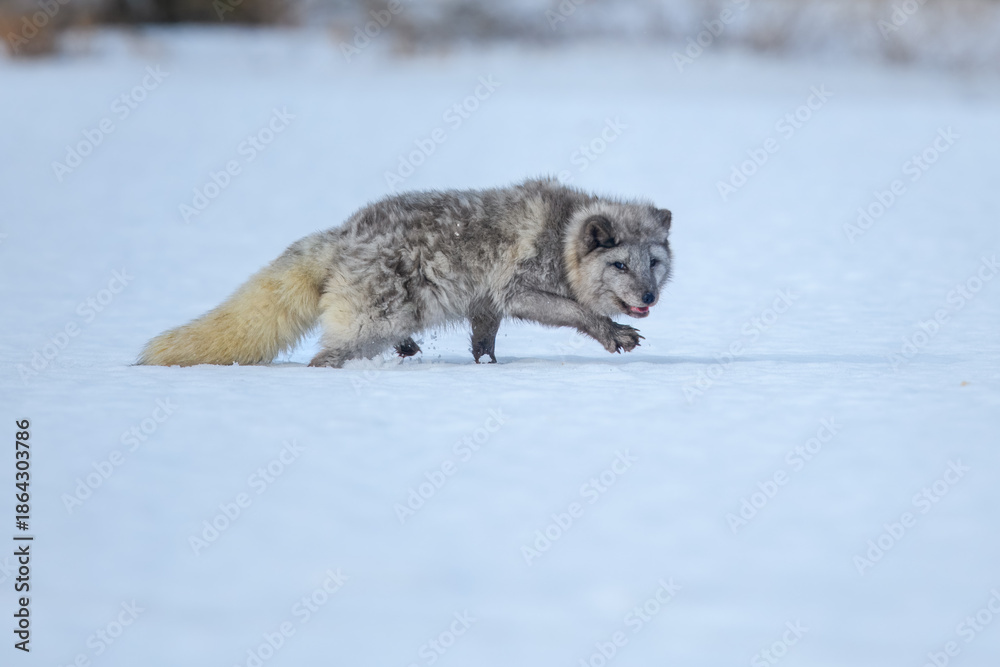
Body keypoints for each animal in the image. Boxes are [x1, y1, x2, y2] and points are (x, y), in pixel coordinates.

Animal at [138, 177, 673, 368]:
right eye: (619, 264)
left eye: (654, 263)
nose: (649, 297)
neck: (561, 237)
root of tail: (342, 234)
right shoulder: (517, 289)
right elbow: (578, 313)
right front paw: (613, 334)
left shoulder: (486, 304)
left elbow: (483, 343)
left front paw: (488, 369)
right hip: (370, 325)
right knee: (324, 357)